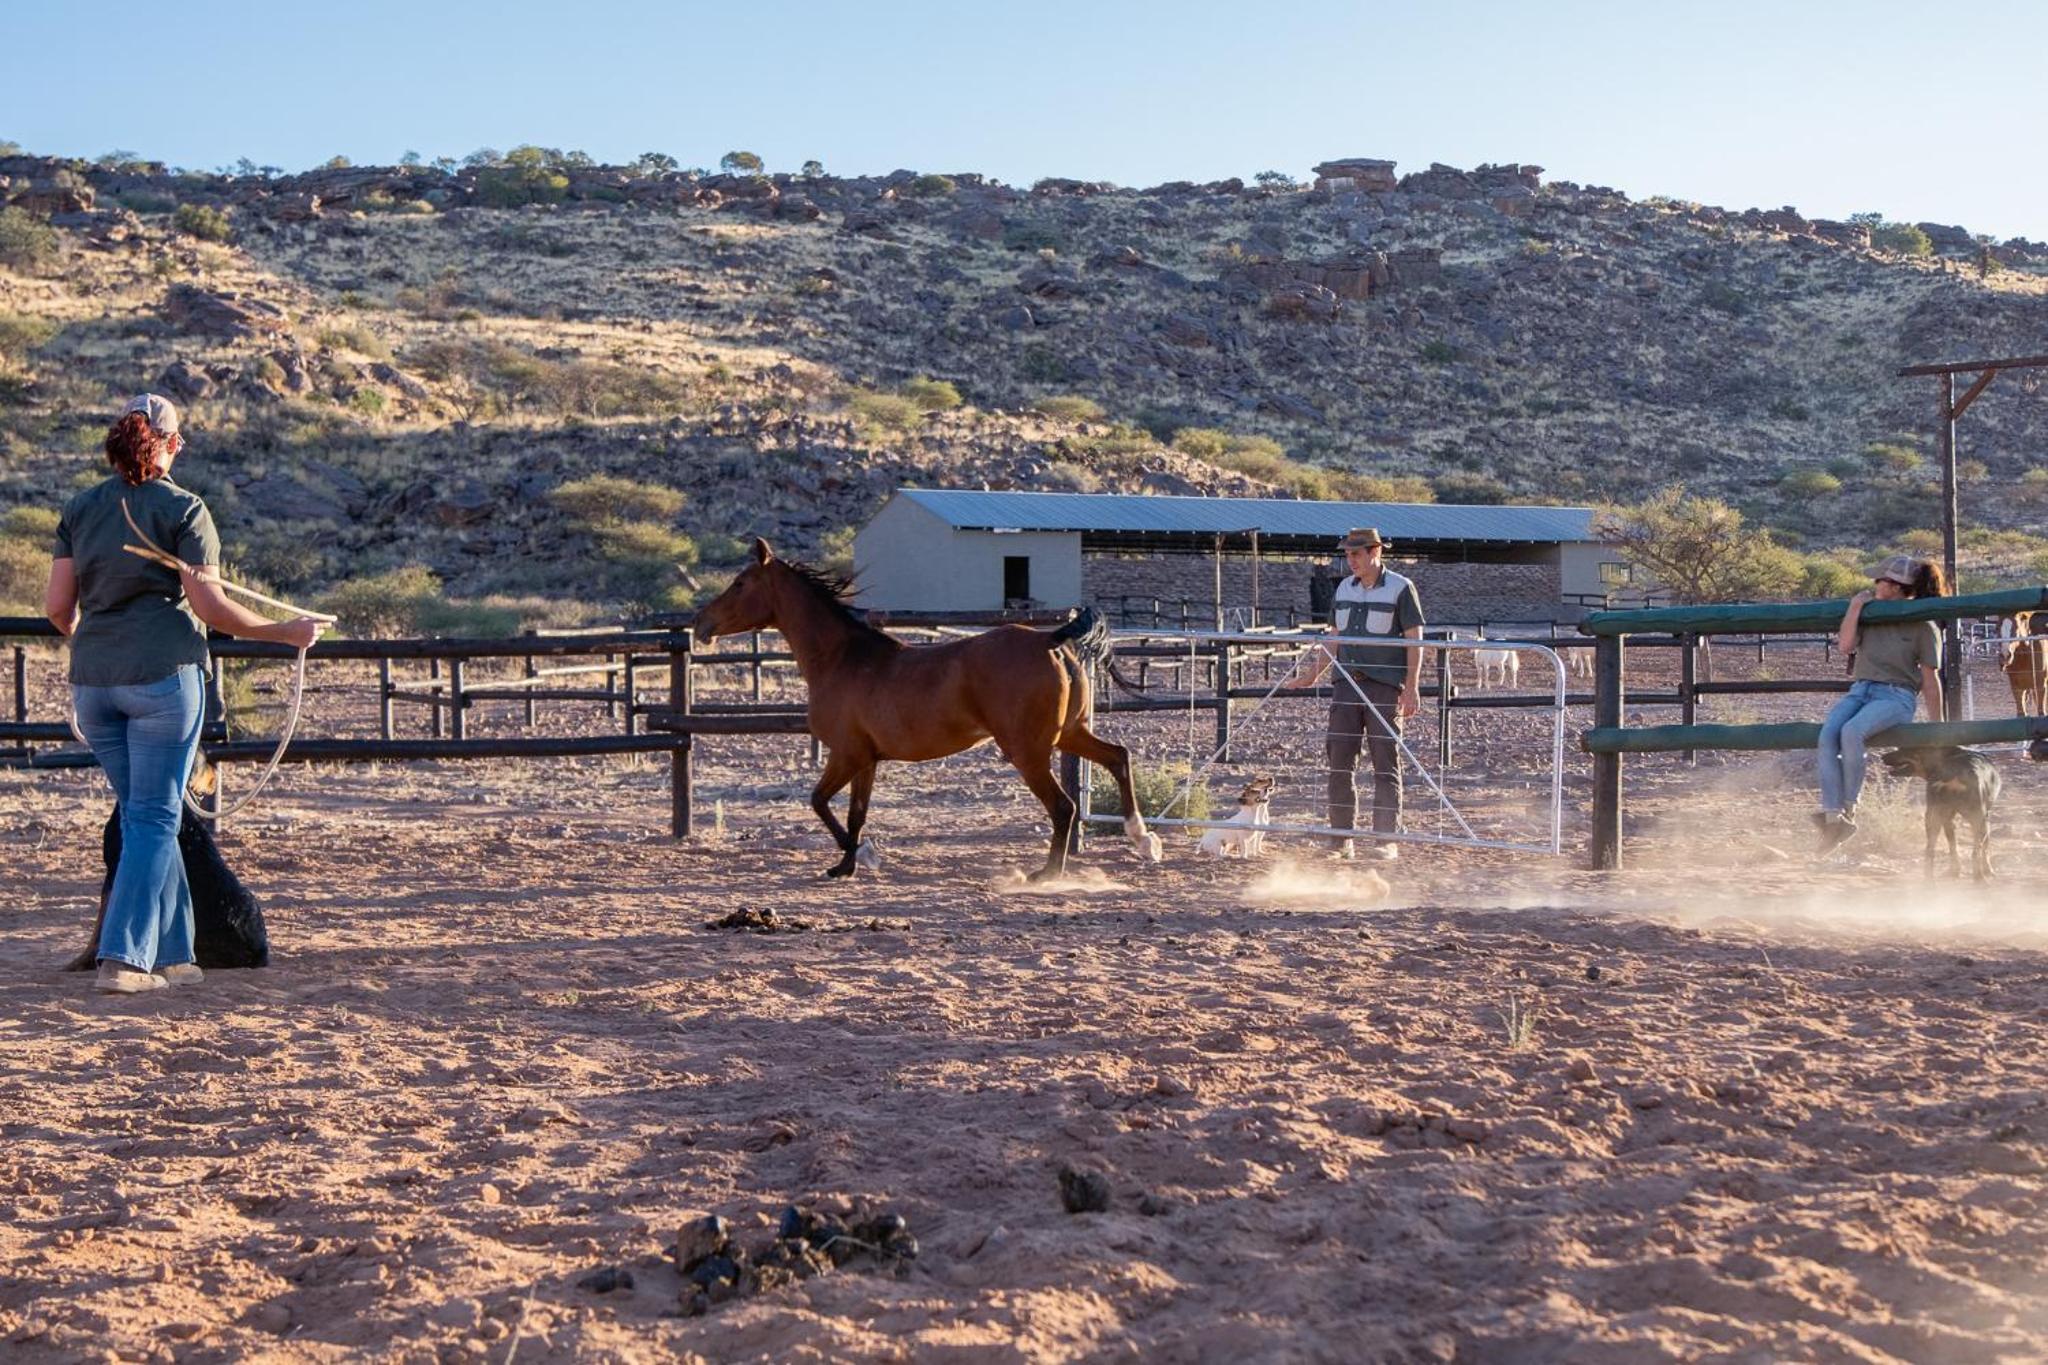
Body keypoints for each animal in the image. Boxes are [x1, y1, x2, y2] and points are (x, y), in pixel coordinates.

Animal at [692, 539, 1160, 880]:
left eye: (740, 583)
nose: (700, 625)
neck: (842, 658)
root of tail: (1051, 642)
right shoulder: (866, 760)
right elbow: (855, 813)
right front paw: (845, 866)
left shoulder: (846, 754)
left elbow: (819, 802)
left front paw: (860, 856)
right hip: (1069, 734)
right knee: (1118, 757)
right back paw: (1142, 839)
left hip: (1027, 750)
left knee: (1064, 807)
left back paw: (1047, 875)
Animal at [1878, 746, 2001, 881]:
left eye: (1902, 748)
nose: (1882, 757)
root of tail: (1954, 774)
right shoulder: (1984, 820)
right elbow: (1984, 848)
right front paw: (1988, 870)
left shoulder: (1947, 820)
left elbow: (1954, 847)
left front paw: (1955, 871)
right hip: (1977, 819)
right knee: (1975, 852)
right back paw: (1979, 878)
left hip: (1933, 817)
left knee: (1930, 851)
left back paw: (1929, 880)